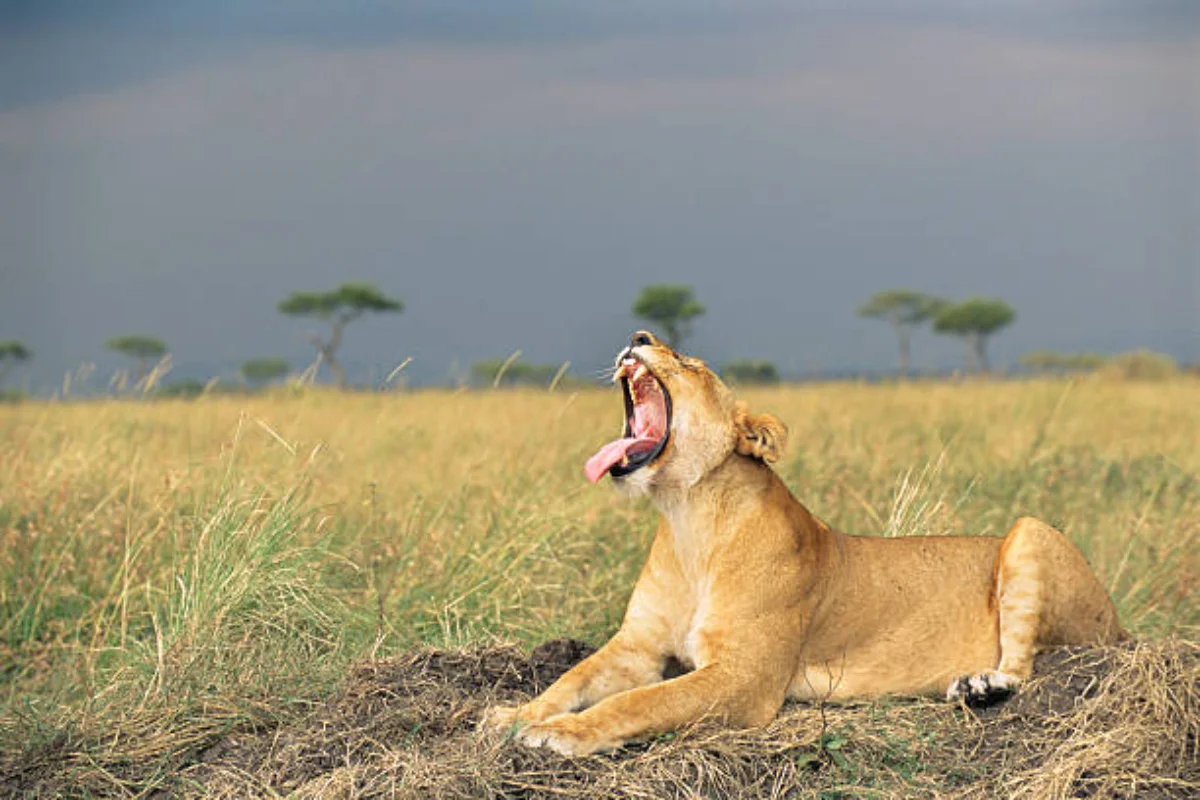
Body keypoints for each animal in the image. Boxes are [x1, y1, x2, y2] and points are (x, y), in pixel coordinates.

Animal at [482, 330, 1127, 756]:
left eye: (691, 364)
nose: (639, 334)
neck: (688, 519)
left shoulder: (744, 678)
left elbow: (640, 703)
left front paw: (560, 733)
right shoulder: (637, 647)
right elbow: (571, 679)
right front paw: (513, 713)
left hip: (1031, 531)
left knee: (1026, 664)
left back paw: (986, 687)